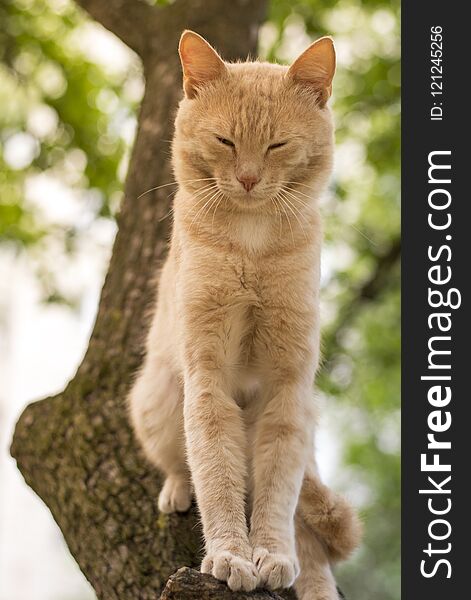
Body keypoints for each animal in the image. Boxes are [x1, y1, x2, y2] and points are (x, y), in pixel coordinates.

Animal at [129, 30, 362, 596]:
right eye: (225, 141)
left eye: (278, 144)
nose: (250, 178)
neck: (252, 247)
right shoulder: (207, 375)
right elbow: (215, 470)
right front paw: (231, 555)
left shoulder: (287, 389)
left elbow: (278, 493)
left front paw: (270, 555)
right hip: (157, 398)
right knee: (181, 463)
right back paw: (175, 490)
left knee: (311, 539)